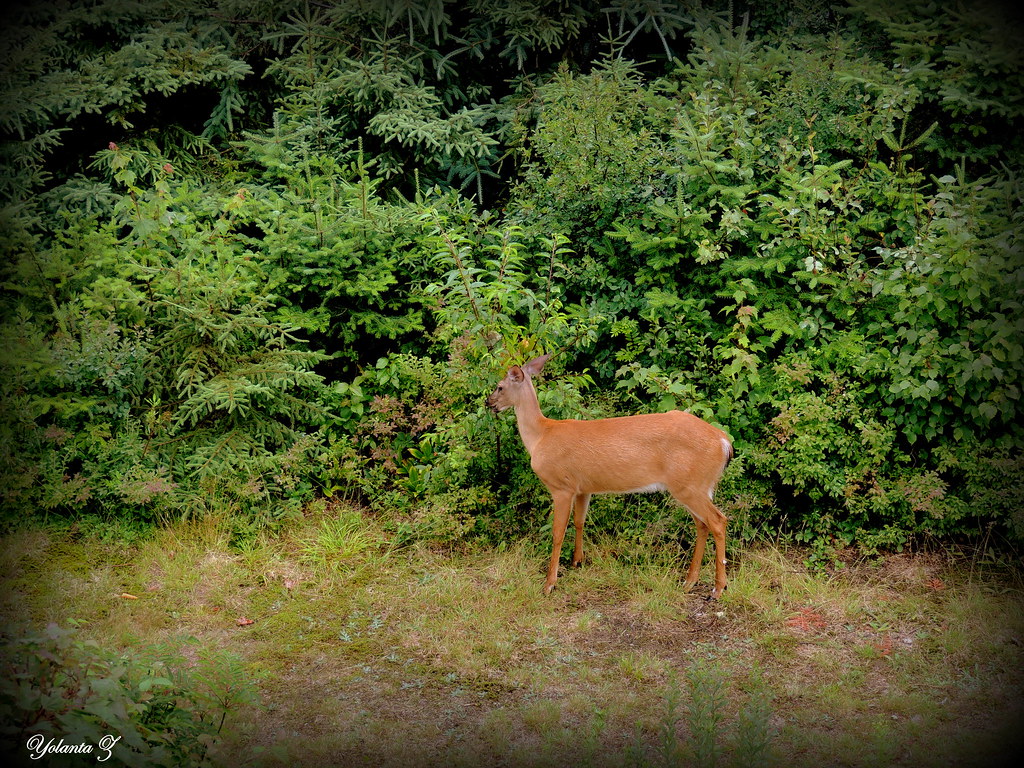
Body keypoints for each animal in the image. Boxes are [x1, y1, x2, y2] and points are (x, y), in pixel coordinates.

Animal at [487, 353, 733, 598]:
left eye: (500, 386)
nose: (488, 403)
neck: (541, 435)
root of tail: (723, 441)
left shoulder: (561, 487)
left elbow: (557, 533)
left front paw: (549, 583)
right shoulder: (583, 488)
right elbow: (579, 521)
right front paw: (578, 561)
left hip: (690, 485)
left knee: (718, 521)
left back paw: (718, 588)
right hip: (696, 486)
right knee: (702, 524)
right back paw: (690, 581)